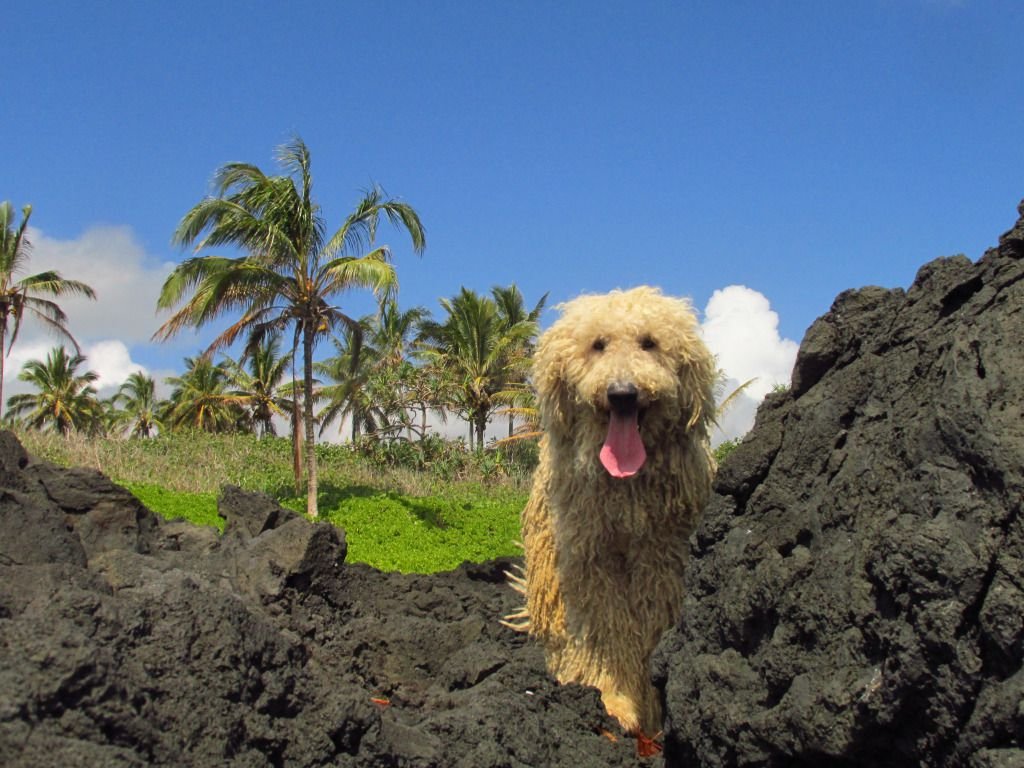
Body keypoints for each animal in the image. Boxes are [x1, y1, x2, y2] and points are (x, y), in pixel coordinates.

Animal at [505, 286, 716, 737]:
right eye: (598, 345)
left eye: (649, 342)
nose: (622, 393)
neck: (624, 490)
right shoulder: (589, 561)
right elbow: (606, 632)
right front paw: (615, 701)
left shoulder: (661, 561)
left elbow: (649, 631)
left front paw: (648, 706)